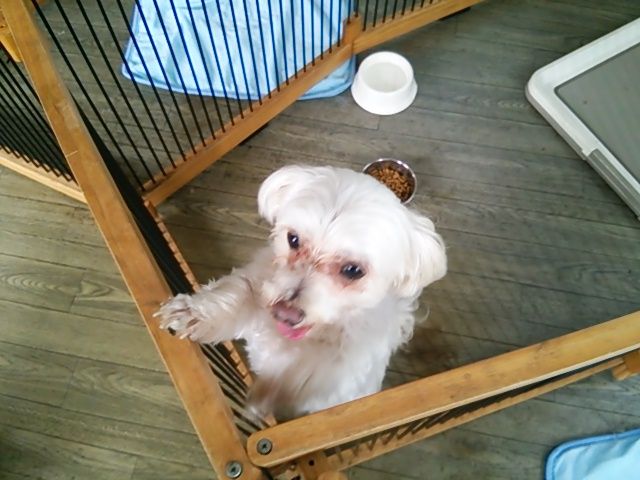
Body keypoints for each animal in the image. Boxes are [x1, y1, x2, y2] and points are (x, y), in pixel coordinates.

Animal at [157, 165, 446, 419]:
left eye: (353, 270)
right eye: (293, 239)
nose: (285, 313)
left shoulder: (345, 369)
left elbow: (317, 372)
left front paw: (272, 391)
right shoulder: (262, 280)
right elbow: (237, 294)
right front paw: (191, 313)